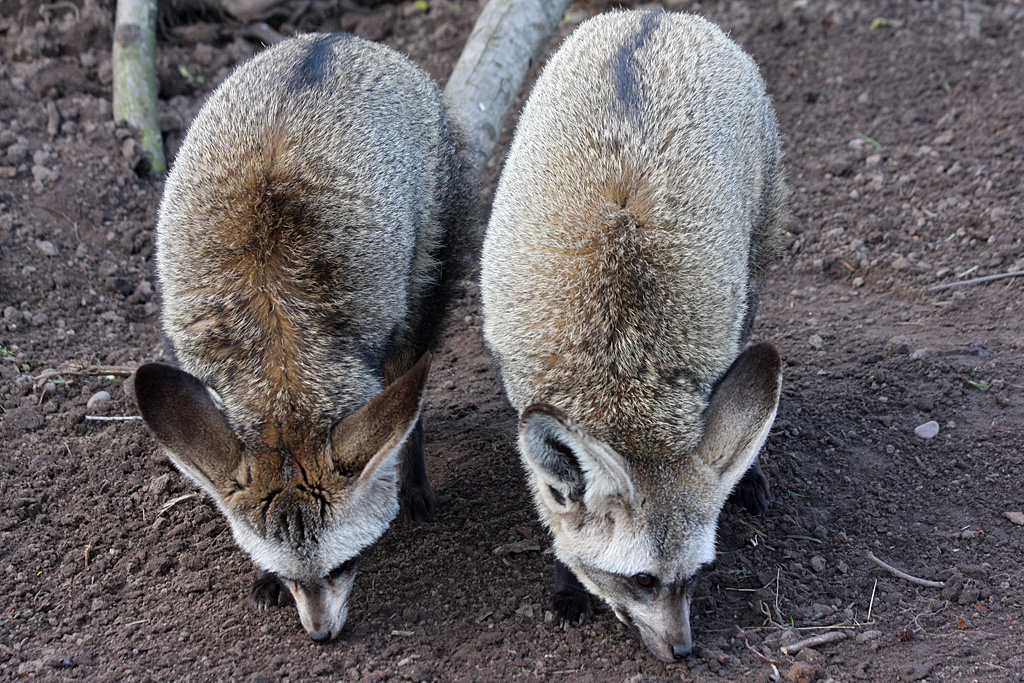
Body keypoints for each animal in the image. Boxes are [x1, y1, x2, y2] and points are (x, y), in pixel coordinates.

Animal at [133, 33, 477, 641]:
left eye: (348, 563)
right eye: (284, 572)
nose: (320, 635)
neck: (280, 351)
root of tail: (333, 39)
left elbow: (400, 410)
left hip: (425, 281)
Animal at [480, 11, 788, 662]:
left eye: (698, 575)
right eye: (642, 581)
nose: (685, 651)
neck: (620, 354)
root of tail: (654, 16)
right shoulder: (522, 386)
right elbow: (553, 505)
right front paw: (566, 585)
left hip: (752, 276)